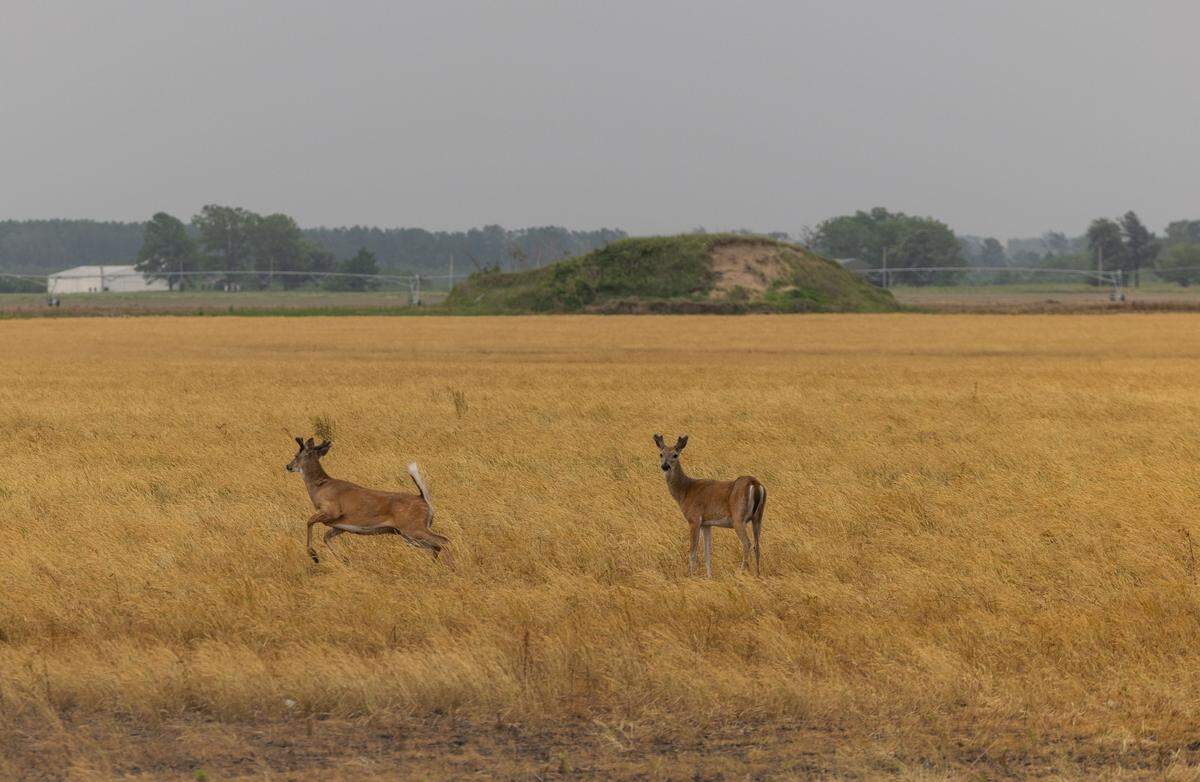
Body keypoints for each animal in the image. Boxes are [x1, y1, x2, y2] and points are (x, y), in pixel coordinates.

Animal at [286, 437, 449, 564]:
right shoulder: (339, 526)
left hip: (413, 529)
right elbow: (326, 537)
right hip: (408, 535)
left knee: (443, 541)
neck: (320, 485)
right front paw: (344, 559)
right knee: (436, 546)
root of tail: (422, 498)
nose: (288, 466)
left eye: (296, 455)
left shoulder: (332, 512)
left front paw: (314, 556)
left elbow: (309, 521)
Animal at [654, 434, 766, 577]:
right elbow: (707, 553)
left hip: (738, 518)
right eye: (661, 454)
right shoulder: (706, 524)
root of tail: (755, 484)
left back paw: (741, 572)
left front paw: (690, 575)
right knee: (757, 544)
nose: (665, 466)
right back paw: (757, 574)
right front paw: (709, 577)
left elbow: (693, 552)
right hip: (758, 517)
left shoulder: (694, 519)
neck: (685, 490)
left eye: (675, 455)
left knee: (747, 543)